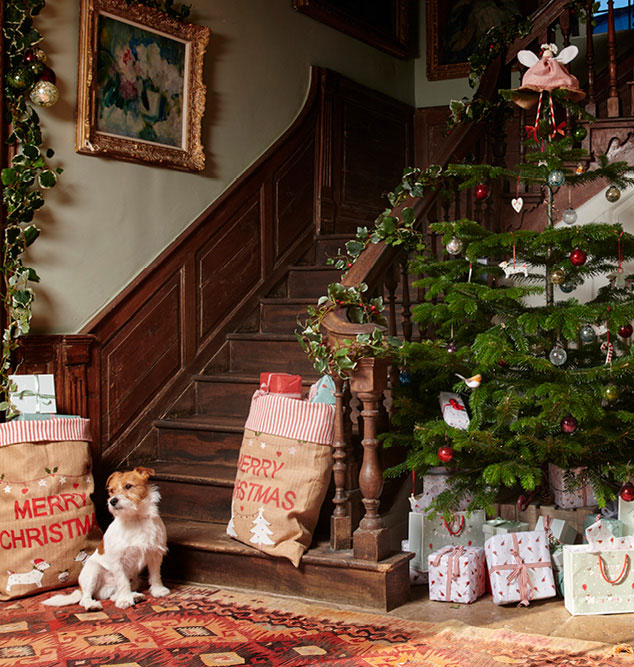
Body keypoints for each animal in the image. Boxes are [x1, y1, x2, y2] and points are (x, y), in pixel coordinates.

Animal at [43, 468, 169, 612]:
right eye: (112, 490)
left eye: (128, 486)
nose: (112, 501)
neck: (135, 519)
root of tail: (80, 589)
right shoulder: (118, 561)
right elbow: (123, 582)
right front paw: (125, 600)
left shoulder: (155, 554)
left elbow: (155, 575)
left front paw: (158, 590)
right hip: (93, 571)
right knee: (85, 598)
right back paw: (93, 604)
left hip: (133, 579)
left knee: (114, 595)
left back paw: (134, 596)